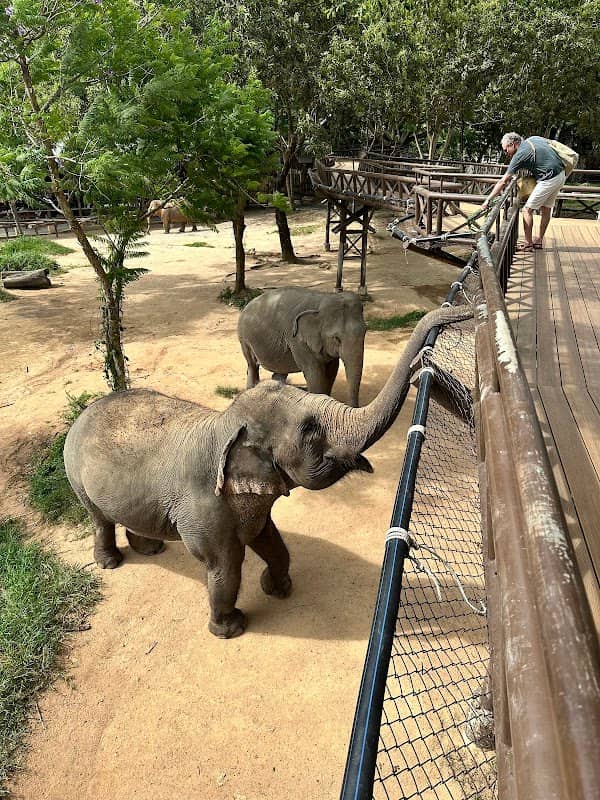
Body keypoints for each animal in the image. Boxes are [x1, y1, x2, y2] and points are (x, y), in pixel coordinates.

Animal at [63, 304, 472, 639]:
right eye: (309, 429)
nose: (466, 310)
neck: (222, 425)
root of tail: (83, 413)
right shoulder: (204, 511)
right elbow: (225, 565)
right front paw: (231, 629)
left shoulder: (252, 507)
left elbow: (270, 539)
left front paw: (277, 588)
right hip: (77, 479)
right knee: (99, 519)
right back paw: (112, 562)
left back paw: (151, 548)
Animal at [238, 288, 367, 407]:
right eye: (336, 338)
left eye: (365, 332)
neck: (321, 301)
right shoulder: (297, 340)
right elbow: (314, 372)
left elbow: (332, 370)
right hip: (244, 339)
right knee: (252, 365)